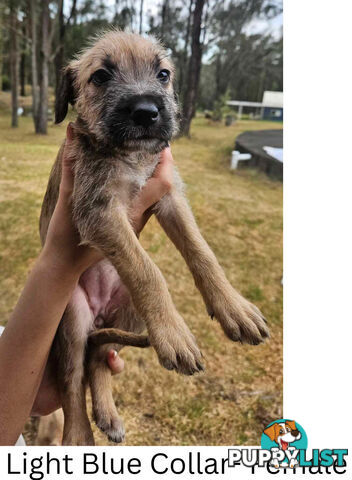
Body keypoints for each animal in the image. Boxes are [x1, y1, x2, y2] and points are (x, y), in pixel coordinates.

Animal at [39, 30, 270, 446]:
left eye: (163, 74)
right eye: (100, 76)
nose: (147, 112)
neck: (130, 157)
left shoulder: (169, 196)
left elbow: (201, 250)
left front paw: (233, 307)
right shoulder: (99, 209)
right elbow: (147, 269)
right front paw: (175, 334)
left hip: (130, 313)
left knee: (97, 357)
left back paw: (109, 415)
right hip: (72, 317)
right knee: (71, 378)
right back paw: (79, 436)